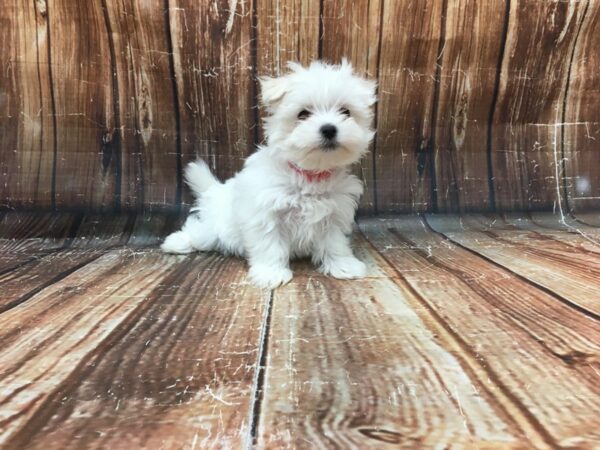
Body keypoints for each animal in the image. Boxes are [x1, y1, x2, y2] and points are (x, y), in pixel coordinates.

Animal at [159, 59, 376, 288]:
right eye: (303, 114)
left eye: (345, 112)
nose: (329, 129)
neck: (309, 174)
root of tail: (216, 191)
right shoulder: (265, 215)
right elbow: (270, 246)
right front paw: (270, 273)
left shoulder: (333, 215)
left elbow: (335, 243)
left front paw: (344, 265)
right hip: (214, 228)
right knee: (199, 231)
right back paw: (177, 241)